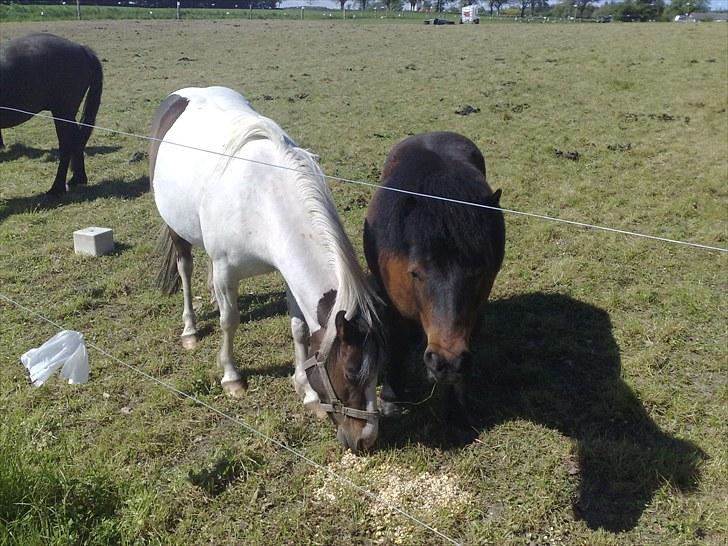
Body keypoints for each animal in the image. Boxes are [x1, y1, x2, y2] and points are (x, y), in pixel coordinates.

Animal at [0, 33, 103, 194]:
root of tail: (81, 48)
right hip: (66, 113)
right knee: (76, 140)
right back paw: (77, 179)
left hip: (62, 111)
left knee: (67, 144)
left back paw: (57, 188)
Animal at [151, 85, 384, 450]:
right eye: (349, 372)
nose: (366, 439)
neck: (262, 199)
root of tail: (180, 95)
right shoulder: (226, 269)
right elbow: (229, 322)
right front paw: (231, 377)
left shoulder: (288, 273)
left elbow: (299, 328)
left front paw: (306, 390)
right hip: (178, 232)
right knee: (186, 269)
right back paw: (190, 328)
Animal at [362, 131, 504, 424]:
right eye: (415, 273)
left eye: (479, 273)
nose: (447, 362)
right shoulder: (390, 305)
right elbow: (396, 344)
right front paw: (391, 399)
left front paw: (455, 407)